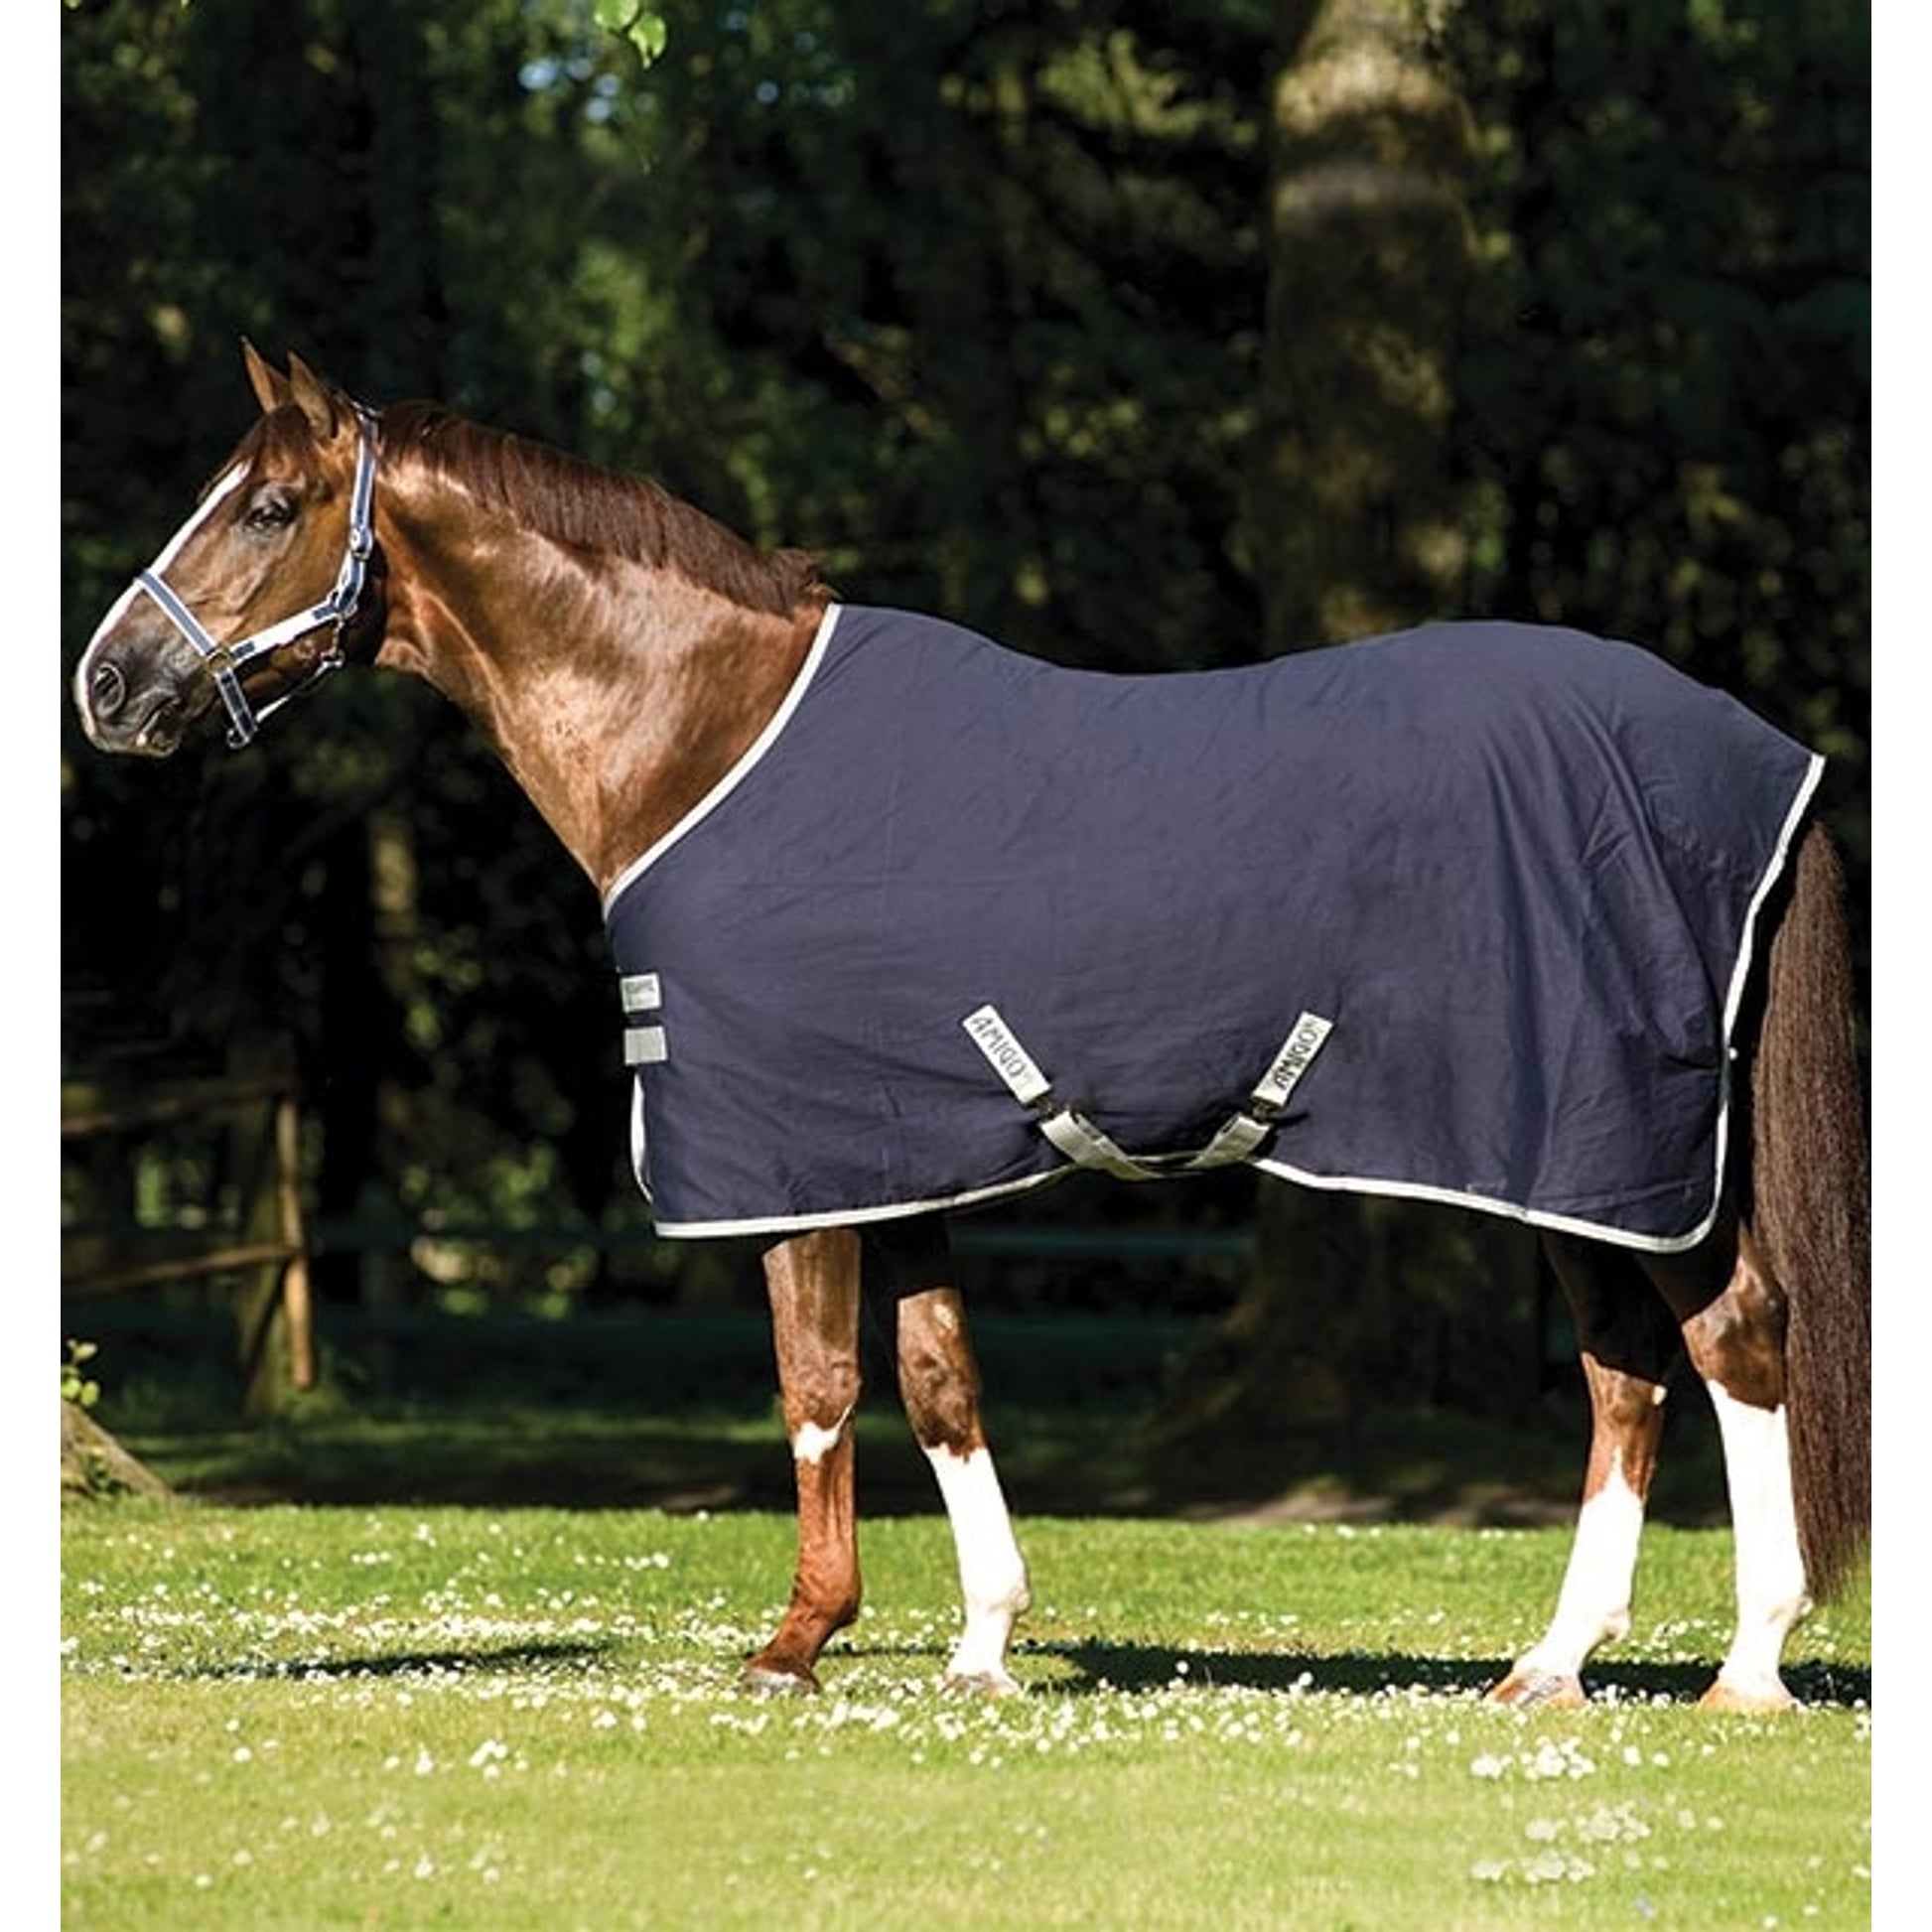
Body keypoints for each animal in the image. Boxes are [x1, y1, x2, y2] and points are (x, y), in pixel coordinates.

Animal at [73, 347, 1869, 1710]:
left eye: (268, 505)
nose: (107, 682)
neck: (706, 731)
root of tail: (1749, 754)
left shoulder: (792, 1156)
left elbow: (813, 1384)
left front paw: (796, 1642)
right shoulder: (902, 1150)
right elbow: (938, 1379)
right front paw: (985, 1643)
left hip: (1604, 1147)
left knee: (1731, 1344)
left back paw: (1747, 1667)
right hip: (1572, 1164)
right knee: (1630, 1377)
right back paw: (1551, 1664)